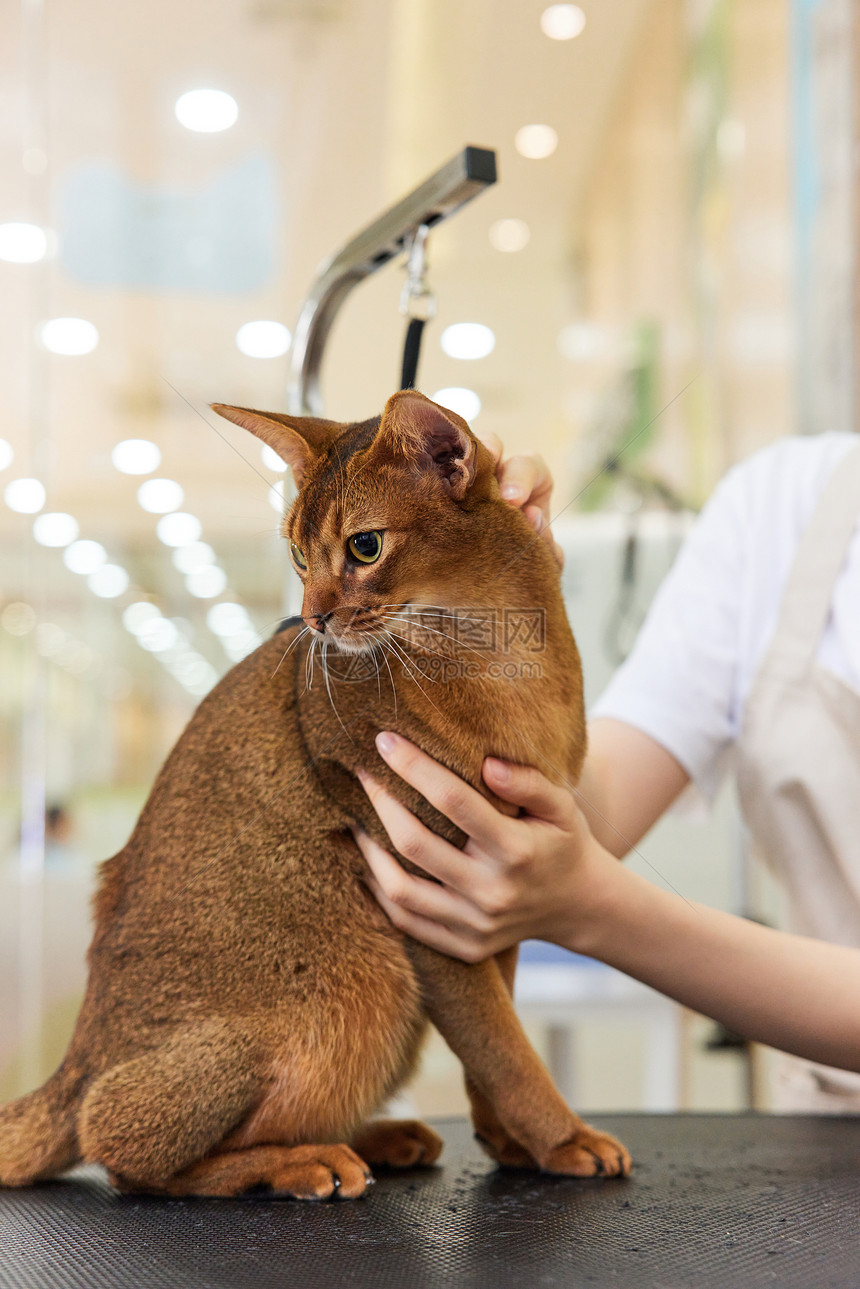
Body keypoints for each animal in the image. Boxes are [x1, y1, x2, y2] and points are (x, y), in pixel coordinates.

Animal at [0, 391, 631, 1196]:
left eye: (364, 547)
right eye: (300, 556)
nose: (310, 618)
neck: (499, 657)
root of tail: (76, 1060)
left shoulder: (501, 894)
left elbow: (499, 1033)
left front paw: (510, 1142)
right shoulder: (435, 901)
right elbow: (503, 1046)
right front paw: (564, 1138)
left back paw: (379, 1137)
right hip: (359, 985)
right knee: (120, 1145)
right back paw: (305, 1160)